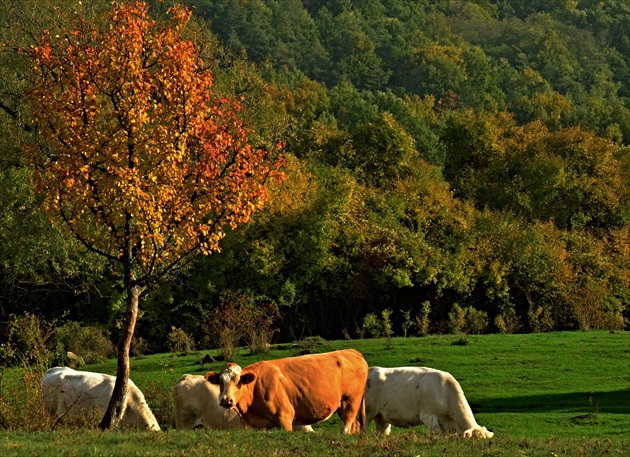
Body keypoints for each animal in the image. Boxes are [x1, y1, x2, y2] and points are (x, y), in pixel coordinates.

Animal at [205, 350, 368, 432]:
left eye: (238, 381)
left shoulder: (284, 417)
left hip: (350, 402)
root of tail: (352, 352)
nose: (226, 400)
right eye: (220, 382)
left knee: (346, 427)